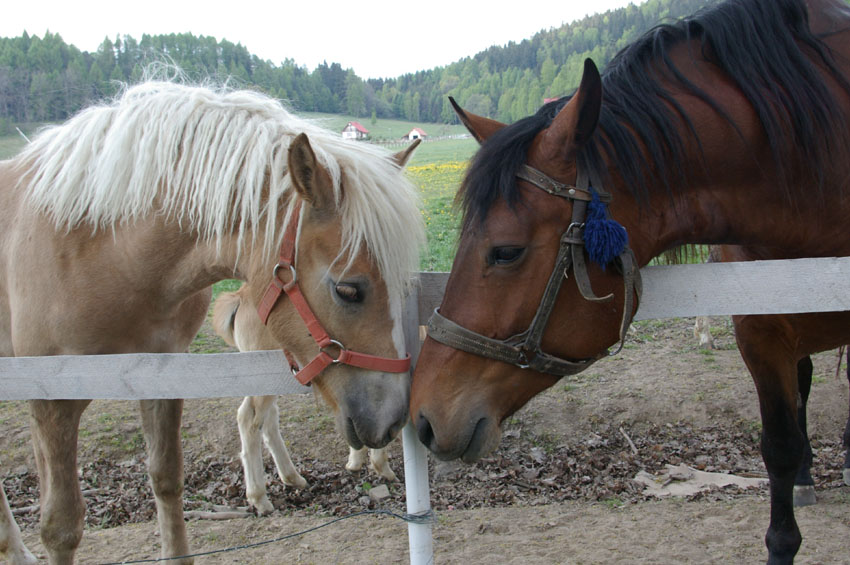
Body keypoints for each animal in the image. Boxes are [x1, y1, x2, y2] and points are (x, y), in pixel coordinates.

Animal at [212, 286, 398, 516]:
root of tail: (239, 296)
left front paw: (355, 461)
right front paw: (382, 467)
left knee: (267, 420)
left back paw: (293, 478)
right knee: (249, 418)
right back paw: (260, 498)